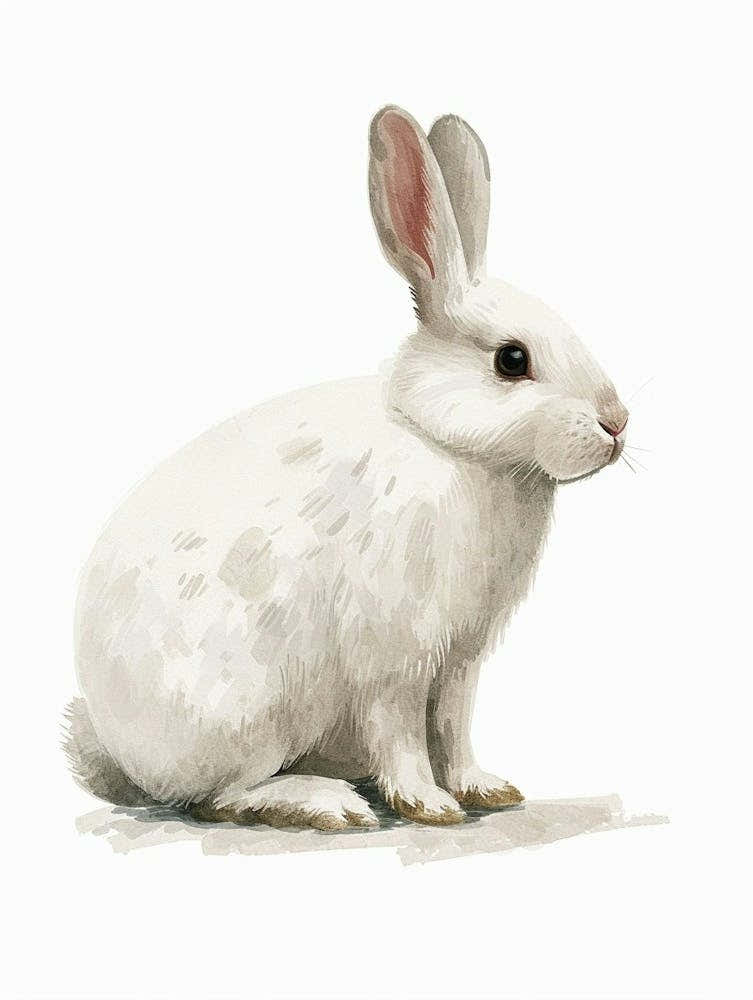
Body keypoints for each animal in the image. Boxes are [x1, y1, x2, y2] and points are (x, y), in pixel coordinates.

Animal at [67, 105, 628, 830]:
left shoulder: (461, 657)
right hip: (250, 713)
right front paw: (428, 804)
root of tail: (118, 749)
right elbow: (401, 730)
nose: (616, 423)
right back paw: (327, 802)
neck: (453, 448)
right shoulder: (395, 653)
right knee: (222, 796)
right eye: (512, 359)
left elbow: (453, 724)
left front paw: (483, 788)